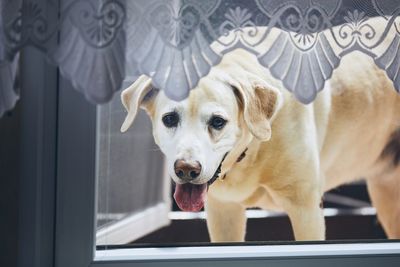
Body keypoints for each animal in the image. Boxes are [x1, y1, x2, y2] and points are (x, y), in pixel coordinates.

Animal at [120, 23, 400, 243]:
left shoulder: (307, 210)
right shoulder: (223, 212)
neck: (252, 151)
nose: (186, 169)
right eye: (169, 119)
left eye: (218, 122)